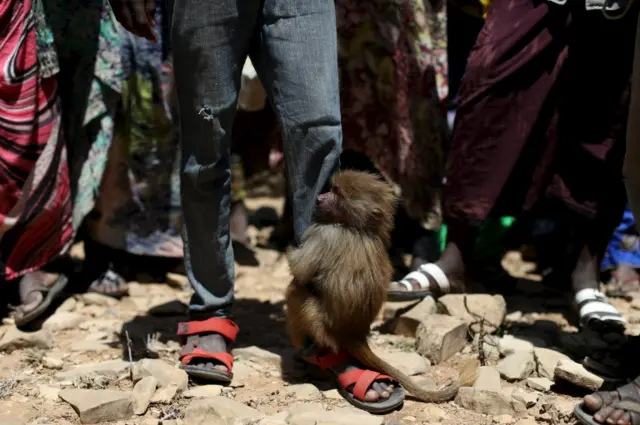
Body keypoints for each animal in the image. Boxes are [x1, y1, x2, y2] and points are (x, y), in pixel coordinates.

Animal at [284, 171, 470, 410]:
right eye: (332, 189)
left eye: (336, 193)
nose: (319, 198)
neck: (362, 230)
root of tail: (352, 334)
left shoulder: (326, 233)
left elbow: (300, 270)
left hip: (319, 324)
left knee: (297, 291)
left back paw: (306, 350)